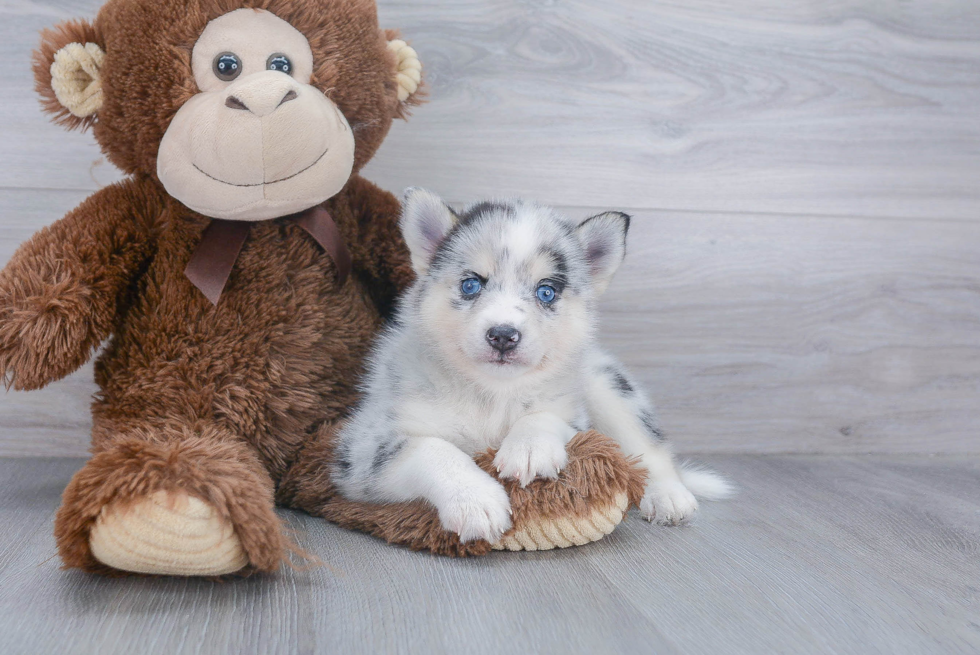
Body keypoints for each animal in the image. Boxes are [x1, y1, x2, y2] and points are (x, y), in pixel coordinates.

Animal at [334, 190, 732, 544]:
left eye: (546, 292)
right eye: (471, 284)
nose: (503, 335)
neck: (492, 395)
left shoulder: (573, 416)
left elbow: (545, 417)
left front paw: (529, 448)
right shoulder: (361, 448)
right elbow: (432, 449)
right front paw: (475, 499)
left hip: (608, 386)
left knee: (649, 446)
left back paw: (668, 495)